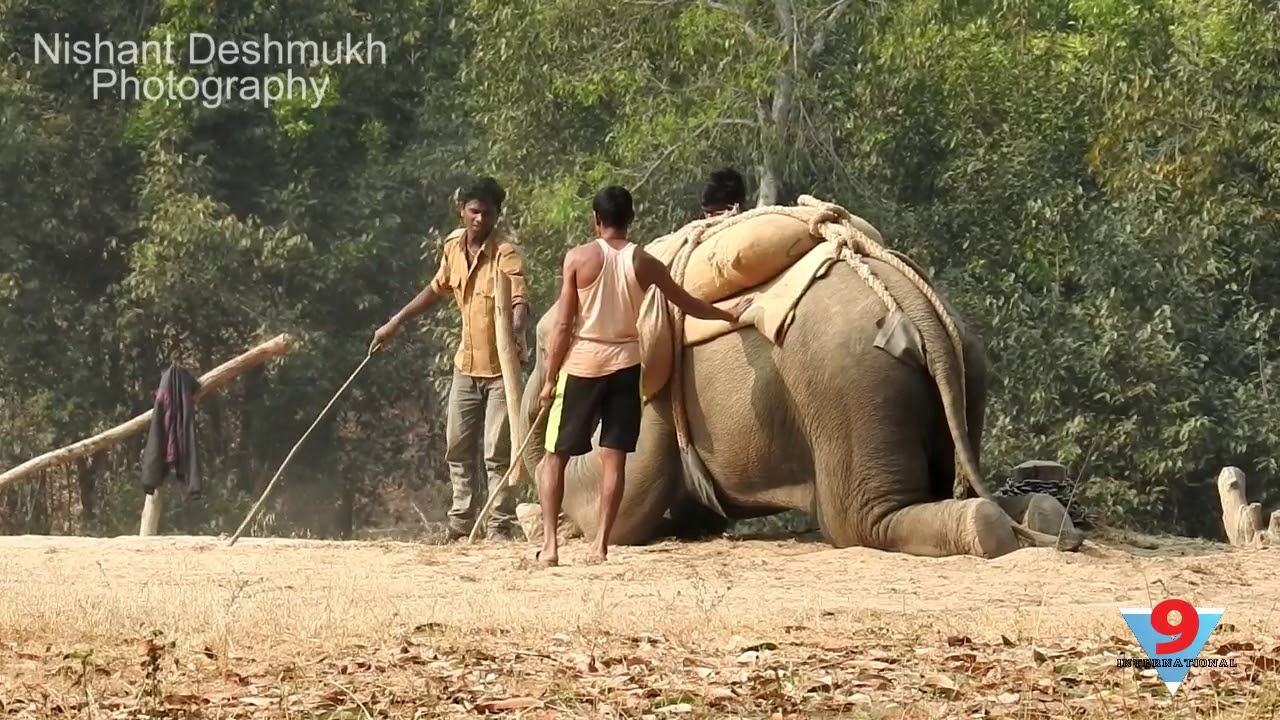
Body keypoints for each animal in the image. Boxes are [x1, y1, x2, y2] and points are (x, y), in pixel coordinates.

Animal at [517, 249, 1086, 559]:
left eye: (546, 346)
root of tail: (920, 308)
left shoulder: (653, 377)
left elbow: (628, 500)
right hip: (964, 375)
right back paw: (1044, 520)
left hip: (856, 387)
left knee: (858, 521)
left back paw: (988, 529)